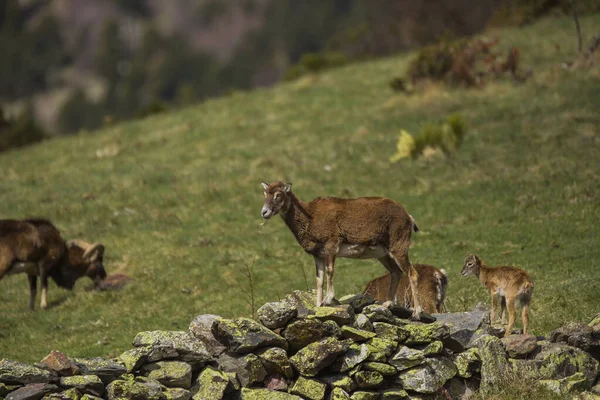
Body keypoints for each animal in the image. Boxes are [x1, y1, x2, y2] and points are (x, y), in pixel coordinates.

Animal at [260, 181, 424, 318]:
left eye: (278, 195)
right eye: (265, 194)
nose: (264, 212)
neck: (310, 217)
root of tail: (408, 217)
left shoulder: (331, 246)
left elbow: (329, 272)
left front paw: (328, 299)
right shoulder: (318, 256)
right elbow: (319, 280)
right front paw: (318, 306)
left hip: (398, 248)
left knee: (412, 273)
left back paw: (416, 313)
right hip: (384, 255)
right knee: (396, 272)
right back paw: (386, 305)